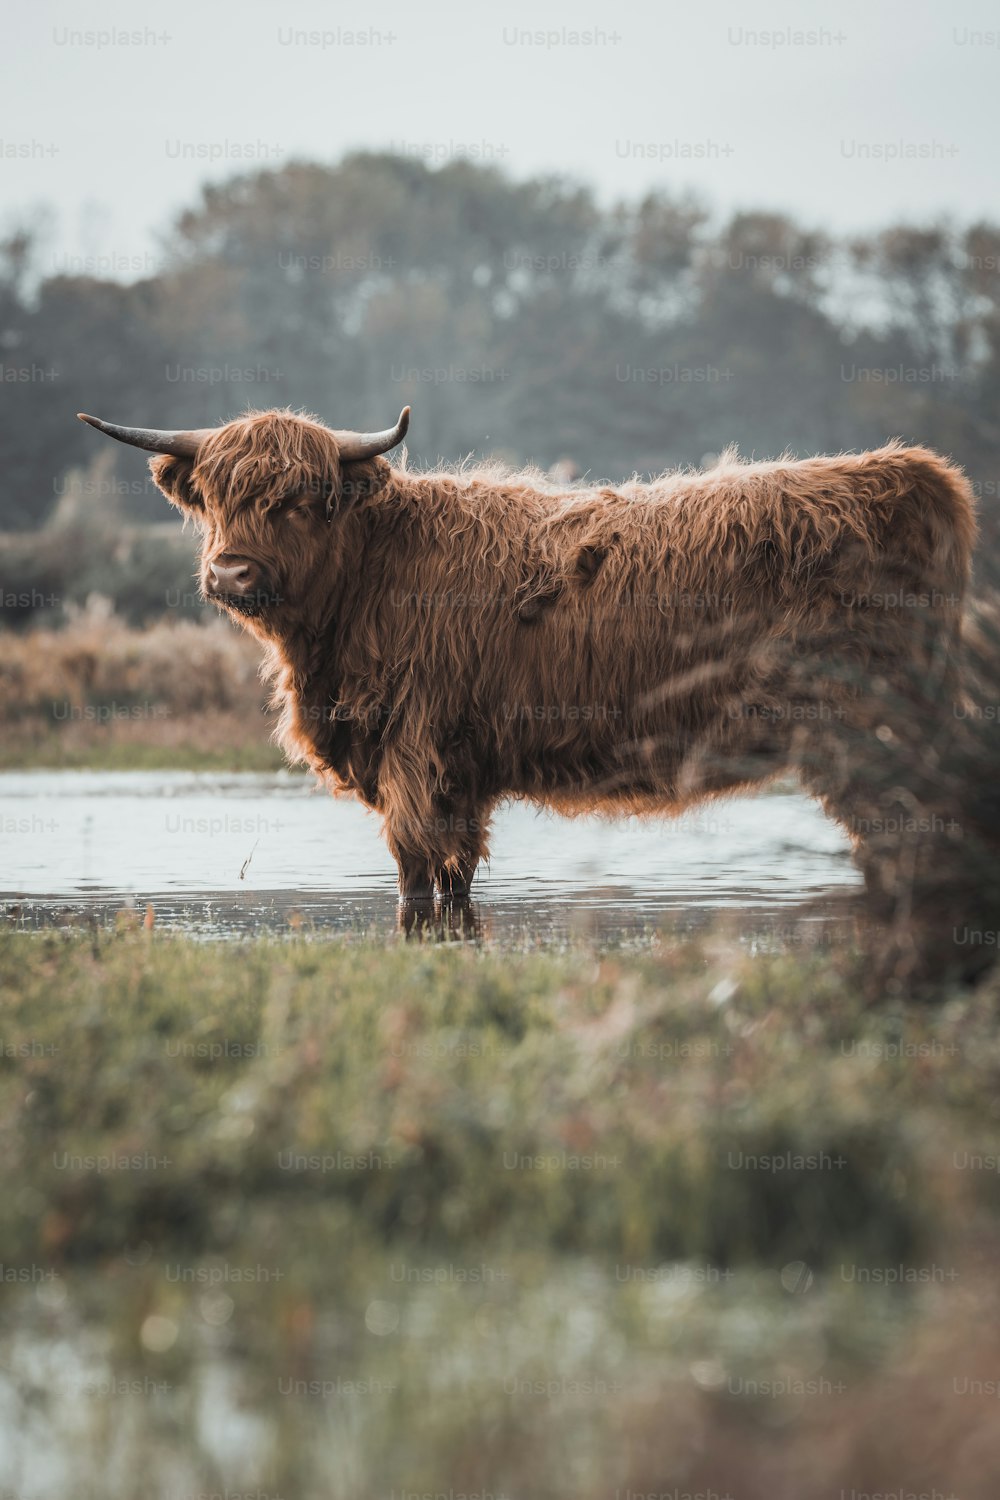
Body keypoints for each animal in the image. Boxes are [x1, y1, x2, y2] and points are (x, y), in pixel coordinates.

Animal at [80, 411, 977, 924]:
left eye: (303, 501)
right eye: (214, 497)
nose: (230, 573)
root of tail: (912, 472)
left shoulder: (415, 749)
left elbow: (413, 873)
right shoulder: (458, 769)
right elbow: (457, 874)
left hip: (874, 727)